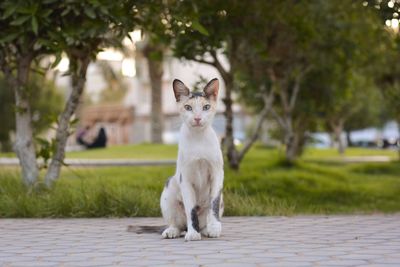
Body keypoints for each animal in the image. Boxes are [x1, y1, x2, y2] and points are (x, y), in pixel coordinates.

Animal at [160, 78, 225, 243]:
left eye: (206, 107)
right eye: (188, 107)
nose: (197, 118)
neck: (198, 138)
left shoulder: (217, 174)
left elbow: (214, 204)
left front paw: (214, 228)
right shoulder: (186, 179)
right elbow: (190, 209)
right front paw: (192, 233)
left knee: (205, 218)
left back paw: (206, 229)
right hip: (169, 189)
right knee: (177, 223)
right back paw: (172, 230)